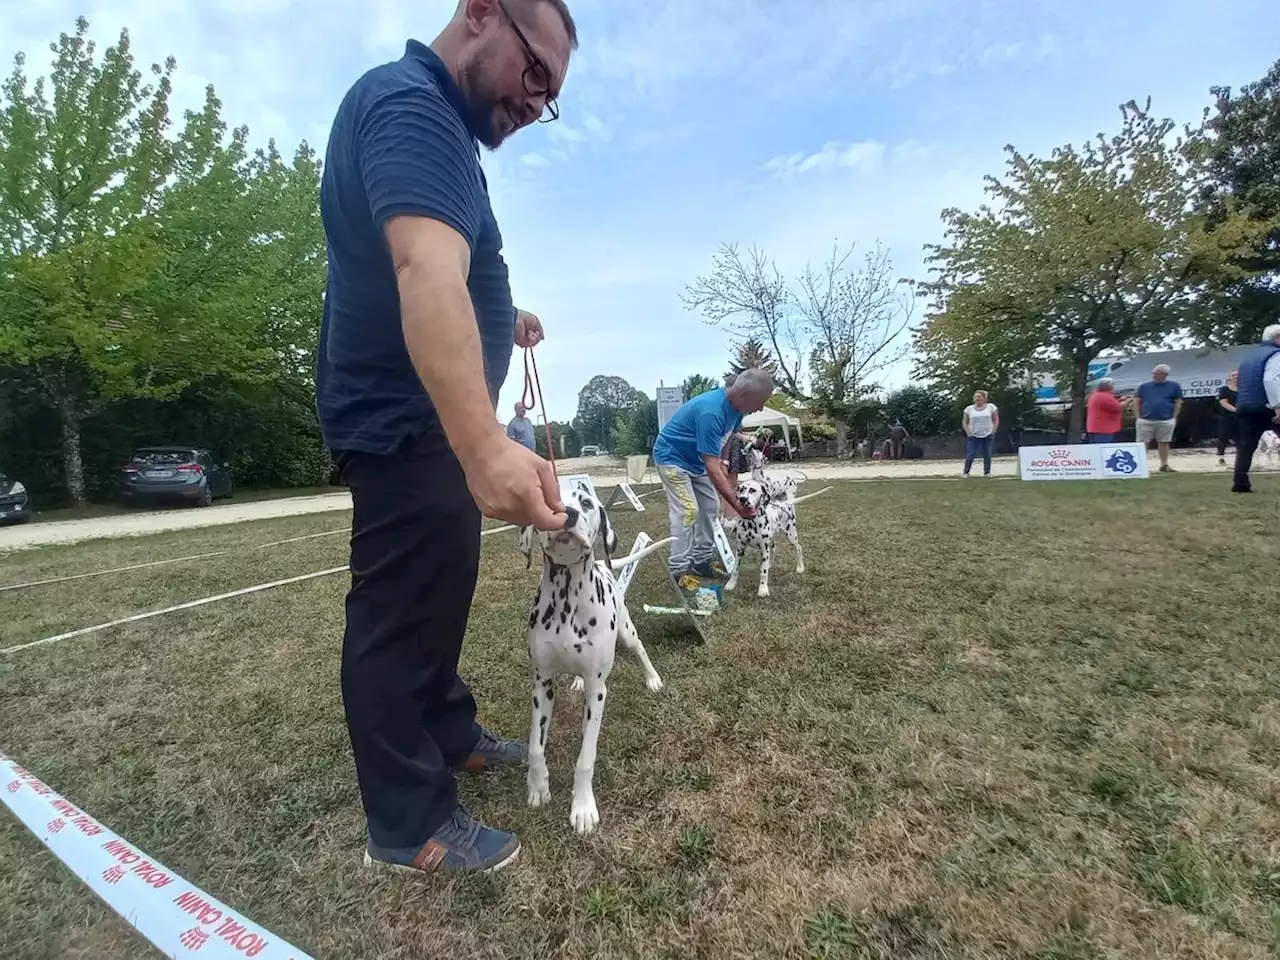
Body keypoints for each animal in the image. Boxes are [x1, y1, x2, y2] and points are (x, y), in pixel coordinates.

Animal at [519, 488, 665, 834]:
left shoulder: (597, 693)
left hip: (627, 631)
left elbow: (586, 758)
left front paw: (583, 808)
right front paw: (538, 787)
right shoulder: (541, 685)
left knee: (640, 649)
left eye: (585, 502)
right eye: (549, 498)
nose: (567, 513)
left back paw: (652, 679)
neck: (566, 600)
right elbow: (535, 747)